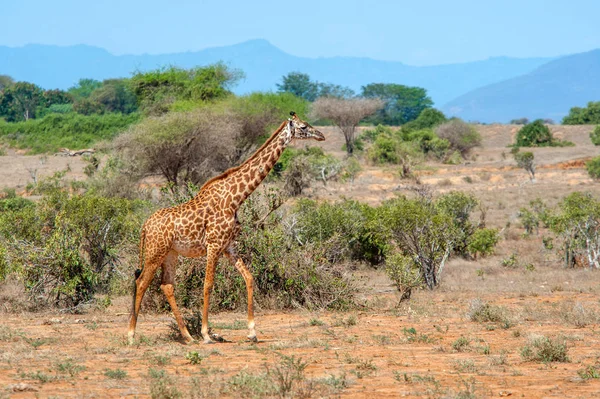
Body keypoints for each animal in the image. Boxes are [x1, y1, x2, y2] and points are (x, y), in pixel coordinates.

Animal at [126, 111, 324, 344]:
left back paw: (187, 336)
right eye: (303, 127)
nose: (321, 135)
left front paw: (252, 332)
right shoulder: (214, 244)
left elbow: (249, 278)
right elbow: (208, 284)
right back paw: (131, 335)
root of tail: (145, 226)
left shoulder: (228, 245)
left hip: (170, 253)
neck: (235, 198)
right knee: (141, 282)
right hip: (155, 252)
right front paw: (206, 333)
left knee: (167, 285)